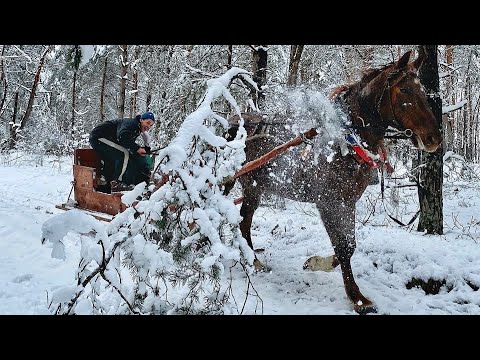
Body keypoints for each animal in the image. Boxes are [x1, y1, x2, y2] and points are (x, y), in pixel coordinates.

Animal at [228, 49, 442, 314]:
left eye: (422, 89)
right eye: (403, 89)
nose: (434, 138)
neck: (345, 140)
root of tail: (234, 120)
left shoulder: (347, 202)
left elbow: (348, 245)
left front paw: (316, 263)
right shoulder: (328, 202)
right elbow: (343, 246)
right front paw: (357, 297)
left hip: (254, 187)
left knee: (244, 221)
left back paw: (253, 261)